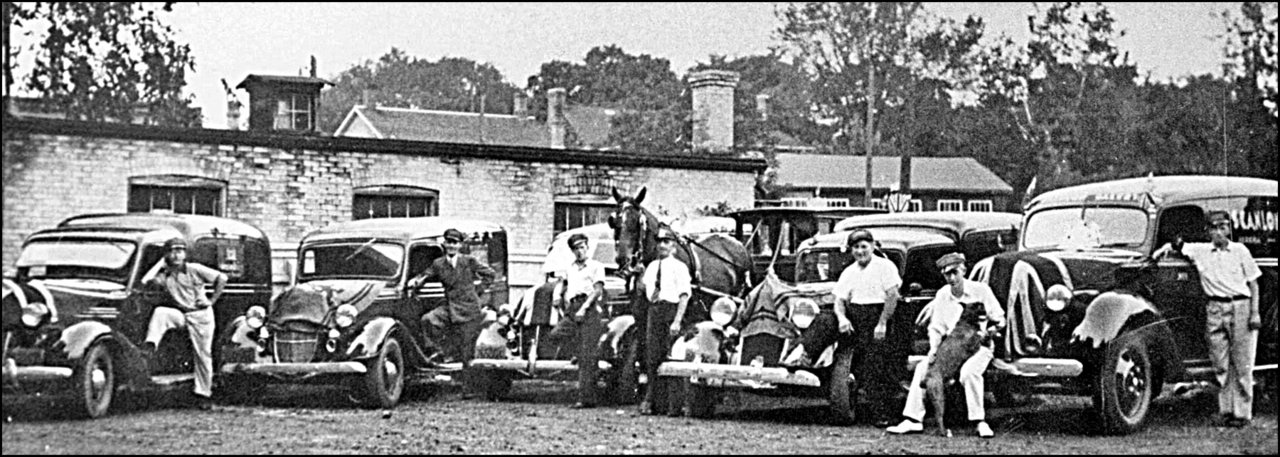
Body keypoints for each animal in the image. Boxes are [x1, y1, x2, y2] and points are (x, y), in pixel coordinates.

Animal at [921, 300, 988, 435]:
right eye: (977, 305)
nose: (982, 303)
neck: (966, 321)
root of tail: (926, 378)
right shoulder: (974, 345)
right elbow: (980, 338)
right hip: (939, 396)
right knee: (939, 416)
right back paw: (944, 432)